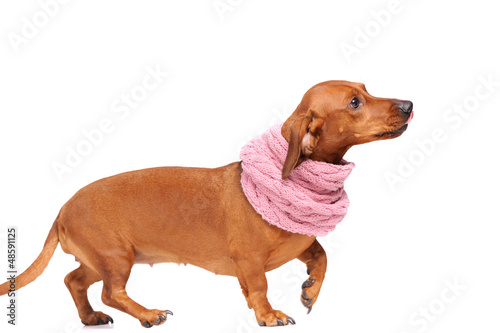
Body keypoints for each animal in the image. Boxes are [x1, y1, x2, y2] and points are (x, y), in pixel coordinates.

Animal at [0, 81, 412, 326]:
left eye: (364, 87)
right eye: (355, 102)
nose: (409, 103)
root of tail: (61, 211)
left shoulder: (303, 243)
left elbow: (322, 257)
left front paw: (310, 289)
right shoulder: (249, 259)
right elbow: (259, 287)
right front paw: (268, 315)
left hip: (98, 260)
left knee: (74, 281)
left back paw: (91, 317)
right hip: (116, 258)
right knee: (110, 292)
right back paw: (148, 313)